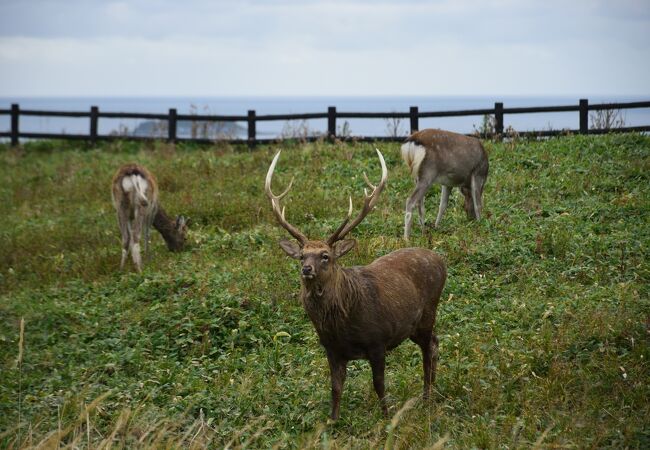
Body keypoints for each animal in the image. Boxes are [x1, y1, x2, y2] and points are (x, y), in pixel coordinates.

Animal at [264, 149, 446, 420]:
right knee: (433, 342)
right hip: (413, 326)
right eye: (302, 255)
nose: (306, 269)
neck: (342, 324)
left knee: (430, 346)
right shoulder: (331, 349)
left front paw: (387, 417)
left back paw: (427, 397)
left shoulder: (378, 341)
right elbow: (336, 387)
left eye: (325, 256)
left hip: (427, 313)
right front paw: (332, 421)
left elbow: (379, 384)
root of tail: (441, 260)